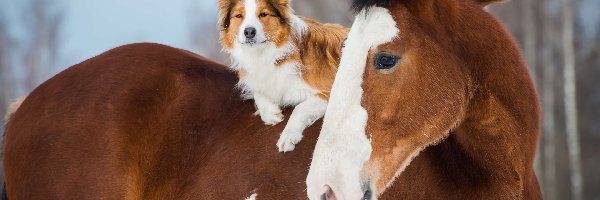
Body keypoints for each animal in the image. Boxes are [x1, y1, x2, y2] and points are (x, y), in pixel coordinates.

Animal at [217, 0, 346, 152]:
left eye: (263, 14)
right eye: (238, 16)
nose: (249, 32)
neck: (269, 54)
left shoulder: (330, 90)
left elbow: (299, 108)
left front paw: (288, 136)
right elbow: (258, 91)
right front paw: (270, 113)